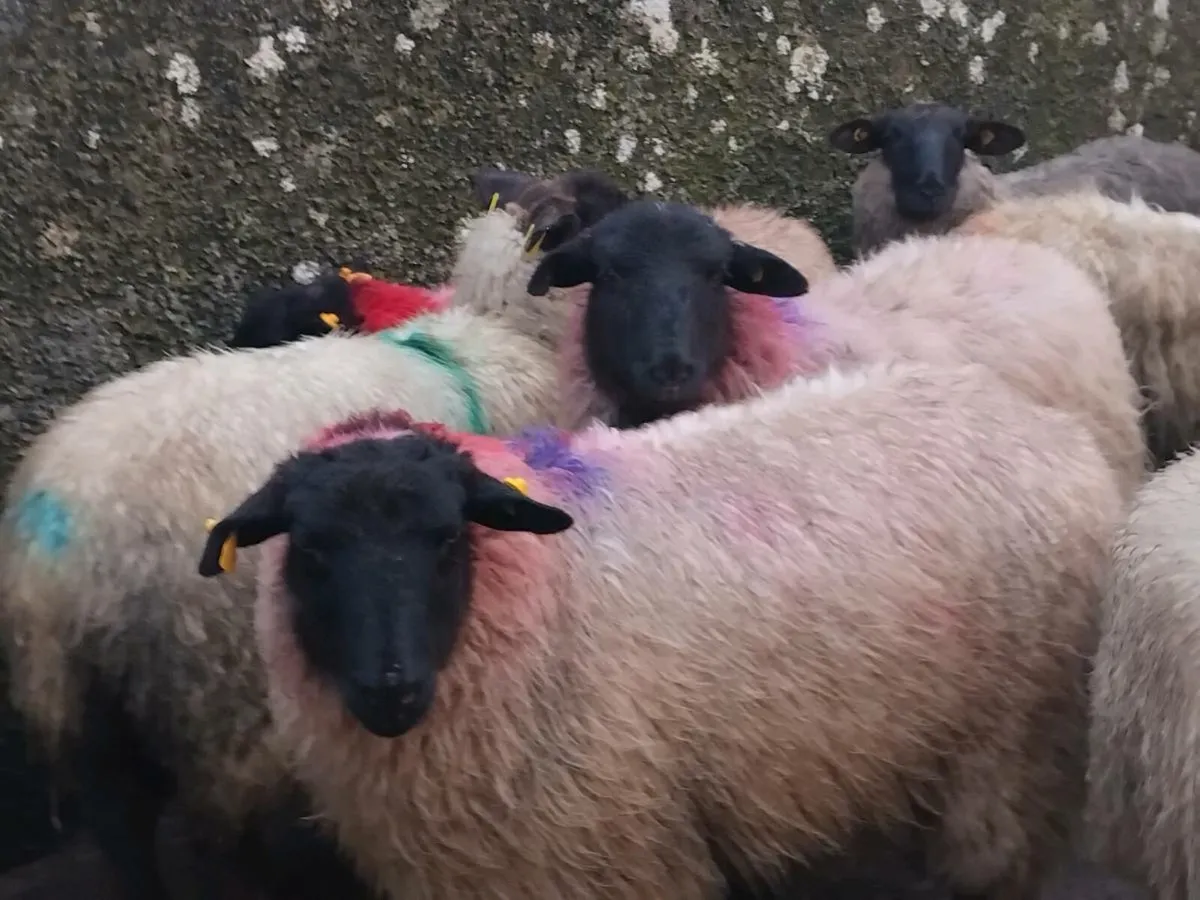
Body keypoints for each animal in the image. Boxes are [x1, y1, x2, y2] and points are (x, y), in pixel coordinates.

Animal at [199, 358, 1124, 900]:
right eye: (313, 551)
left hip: (1010, 735)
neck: (549, 589)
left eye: (445, 538)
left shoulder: (613, 850)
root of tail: (1040, 421)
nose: (389, 688)